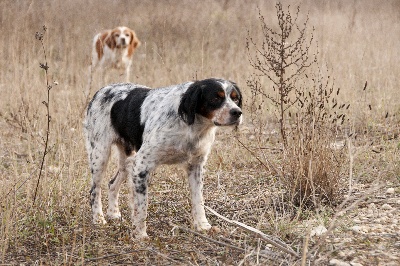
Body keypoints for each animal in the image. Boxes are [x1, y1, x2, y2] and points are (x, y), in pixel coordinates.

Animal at [83, 78, 242, 238]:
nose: (237, 112)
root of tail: (101, 90)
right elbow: (142, 205)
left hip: (127, 159)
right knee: (94, 191)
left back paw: (113, 213)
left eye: (235, 98)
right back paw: (99, 219)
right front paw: (140, 235)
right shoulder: (141, 165)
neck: (191, 127)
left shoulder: (196, 165)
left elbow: (199, 200)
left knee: (112, 184)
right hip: (100, 154)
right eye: (215, 98)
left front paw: (203, 225)